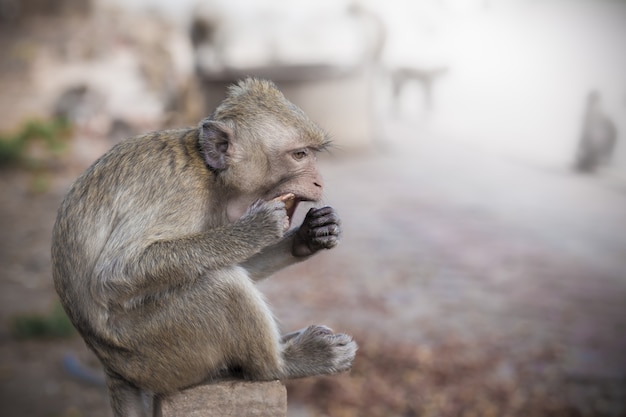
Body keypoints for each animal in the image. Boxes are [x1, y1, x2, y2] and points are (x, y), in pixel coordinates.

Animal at [51, 78, 356, 416]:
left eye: (311, 154)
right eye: (300, 154)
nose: (318, 182)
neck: (211, 175)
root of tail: (112, 366)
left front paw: (309, 236)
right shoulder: (180, 193)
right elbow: (114, 274)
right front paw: (255, 229)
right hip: (155, 351)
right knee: (224, 285)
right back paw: (281, 364)